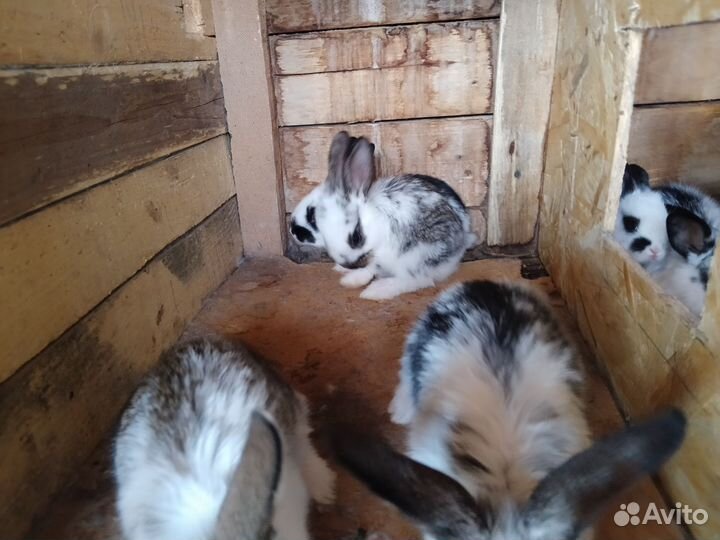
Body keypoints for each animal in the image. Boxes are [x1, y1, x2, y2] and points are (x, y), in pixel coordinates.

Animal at [289, 131, 476, 300]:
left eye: (356, 237)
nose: (292, 229)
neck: (379, 222)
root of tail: (463, 240)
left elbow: (375, 269)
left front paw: (357, 282)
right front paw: (344, 272)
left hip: (418, 257)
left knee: (419, 280)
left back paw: (377, 290)